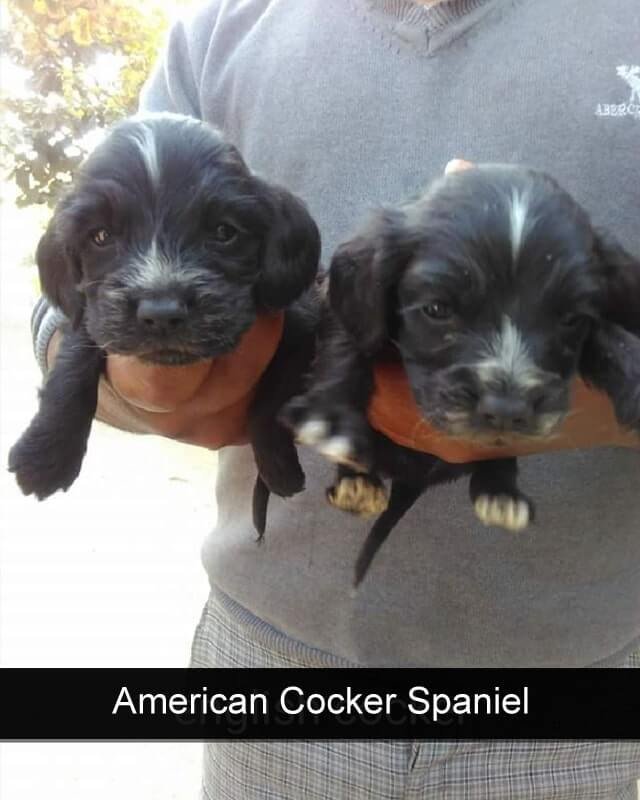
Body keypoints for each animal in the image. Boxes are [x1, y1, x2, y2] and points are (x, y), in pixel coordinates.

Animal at [8, 112, 320, 532]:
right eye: (100, 236)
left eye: (224, 231)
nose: (161, 312)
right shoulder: (91, 314)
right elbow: (73, 363)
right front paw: (46, 454)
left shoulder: (300, 324)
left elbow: (271, 397)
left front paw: (277, 466)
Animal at [284, 164, 640, 588]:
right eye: (437, 309)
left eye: (572, 319)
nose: (506, 409)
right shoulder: (342, 304)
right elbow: (348, 345)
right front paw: (332, 418)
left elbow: (603, 334)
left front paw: (632, 370)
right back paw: (356, 483)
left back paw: (500, 493)